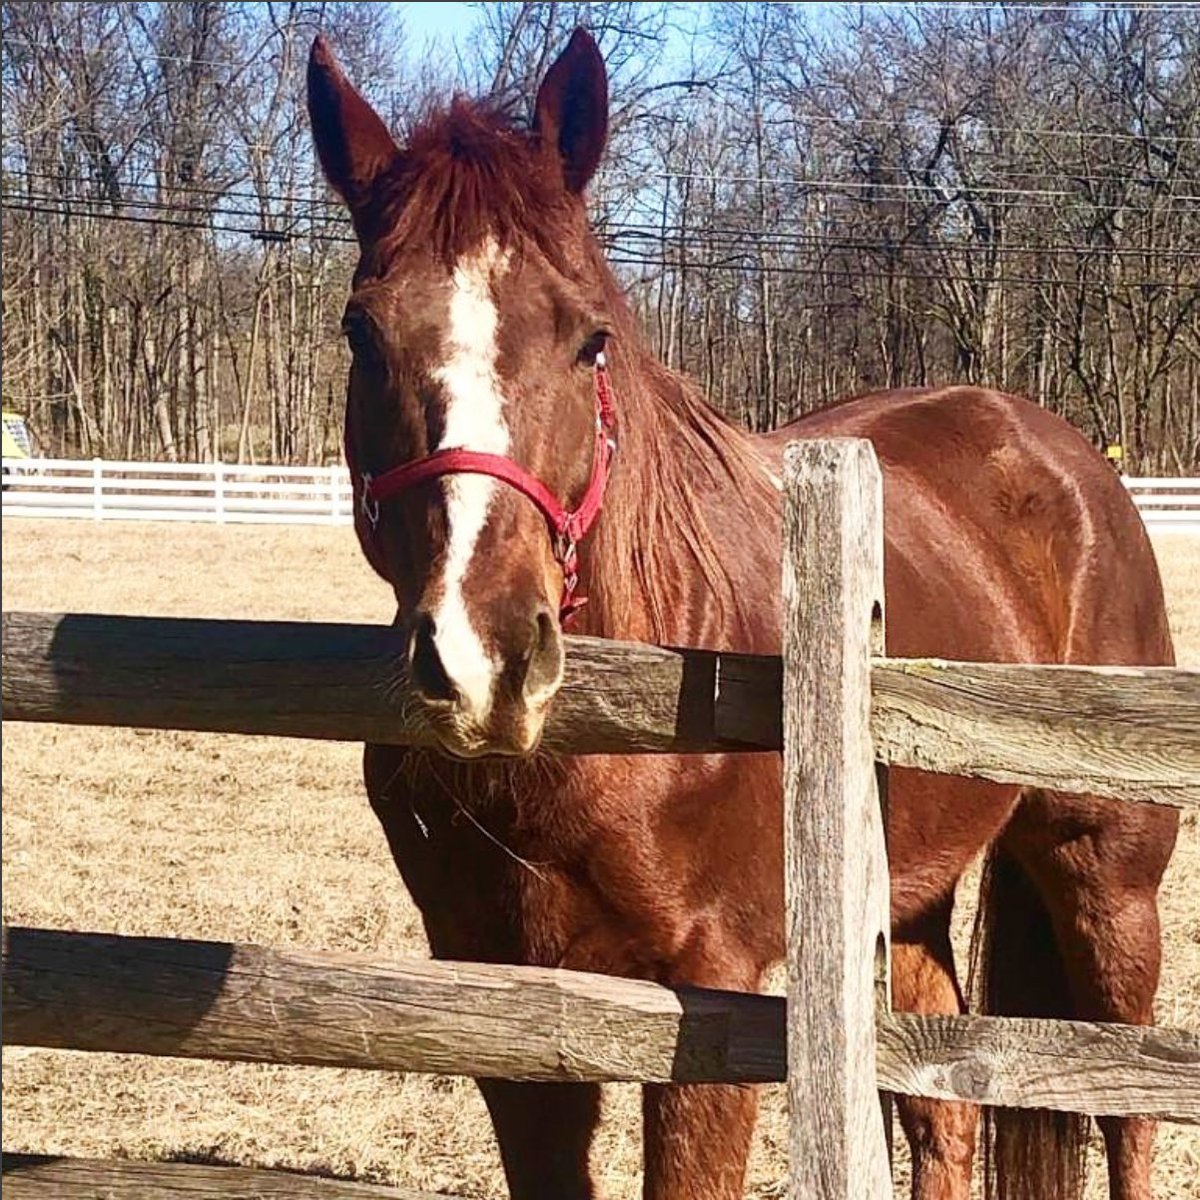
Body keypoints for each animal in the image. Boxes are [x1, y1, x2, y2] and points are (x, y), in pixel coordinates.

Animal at [307, 29, 1178, 1200]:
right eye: (362, 333)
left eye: (589, 340)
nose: (483, 660)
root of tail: (1064, 454)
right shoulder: (505, 1009)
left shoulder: (706, 1007)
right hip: (907, 899)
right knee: (943, 1107)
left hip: (1106, 878)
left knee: (1126, 1109)